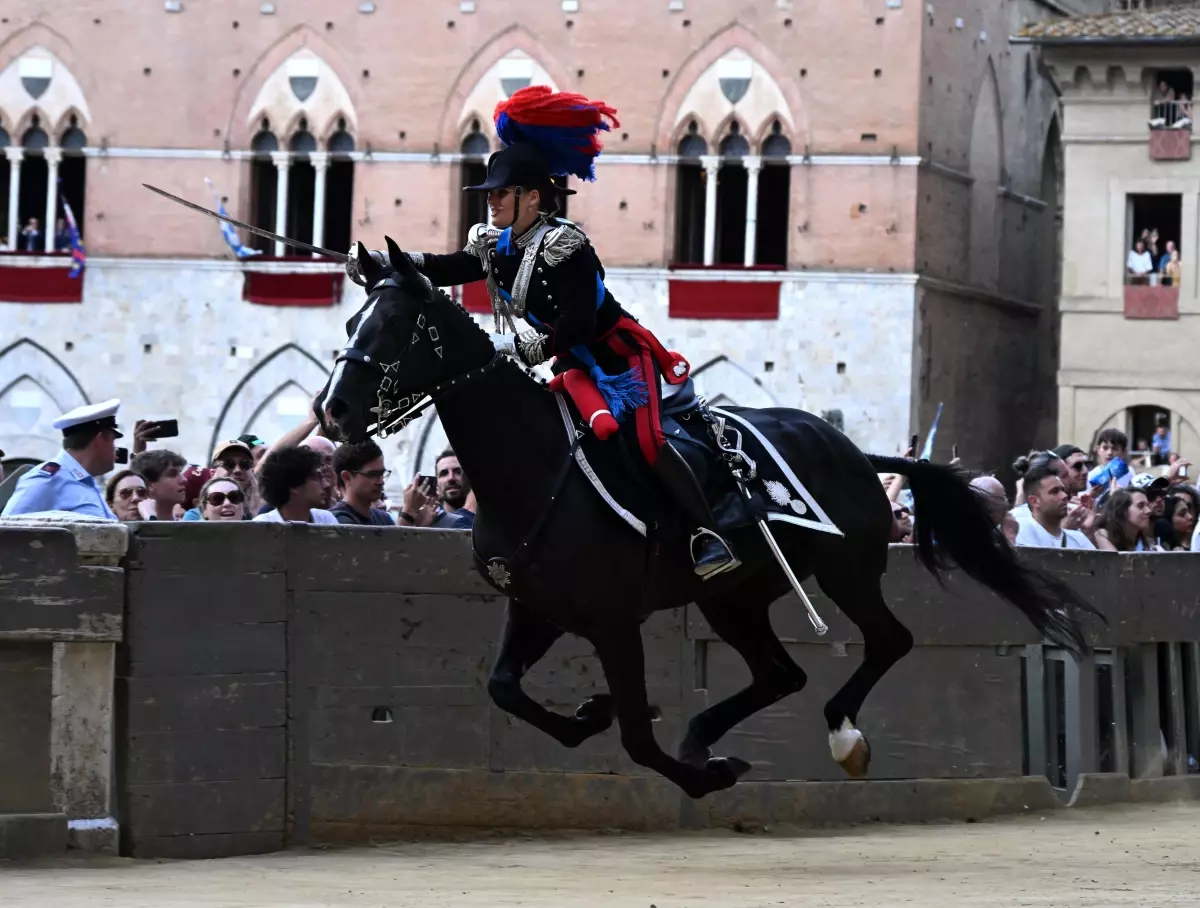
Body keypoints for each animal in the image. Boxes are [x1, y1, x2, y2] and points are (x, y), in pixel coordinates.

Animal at [321, 237, 1104, 796]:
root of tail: (854, 450)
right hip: (735, 599)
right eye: (355, 319)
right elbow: (505, 688)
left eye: (396, 326)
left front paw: (699, 772)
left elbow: (637, 736)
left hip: (845, 571)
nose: (334, 410)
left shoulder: (613, 621)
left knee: (889, 641)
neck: (533, 468)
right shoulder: (537, 608)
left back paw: (839, 739)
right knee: (783, 674)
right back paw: (705, 733)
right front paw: (593, 716)